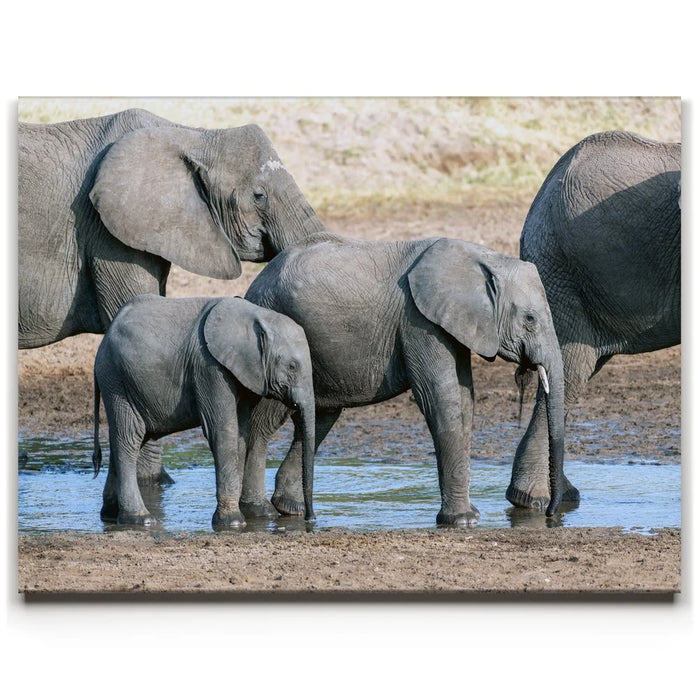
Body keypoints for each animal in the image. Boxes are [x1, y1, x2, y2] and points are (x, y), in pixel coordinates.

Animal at [92, 294, 316, 529]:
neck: (258, 315)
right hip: (116, 381)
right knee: (129, 438)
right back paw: (140, 519)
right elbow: (223, 431)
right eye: (292, 367)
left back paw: (110, 515)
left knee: (130, 439)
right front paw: (232, 523)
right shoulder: (209, 367)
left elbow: (241, 433)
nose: (310, 518)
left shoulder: (244, 373)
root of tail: (104, 341)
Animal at [240, 232, 566, 527]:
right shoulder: (418, 321)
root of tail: (255, 283)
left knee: (319, 419)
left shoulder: (451, 322)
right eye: (530, 320)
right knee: (264, 422)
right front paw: (461, 521)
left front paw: (470, 517)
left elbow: (464, 400)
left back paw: (292, 509)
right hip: (275, 336)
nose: (551, 513)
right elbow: (440, 398)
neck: (483, 258)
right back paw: (259, 512)